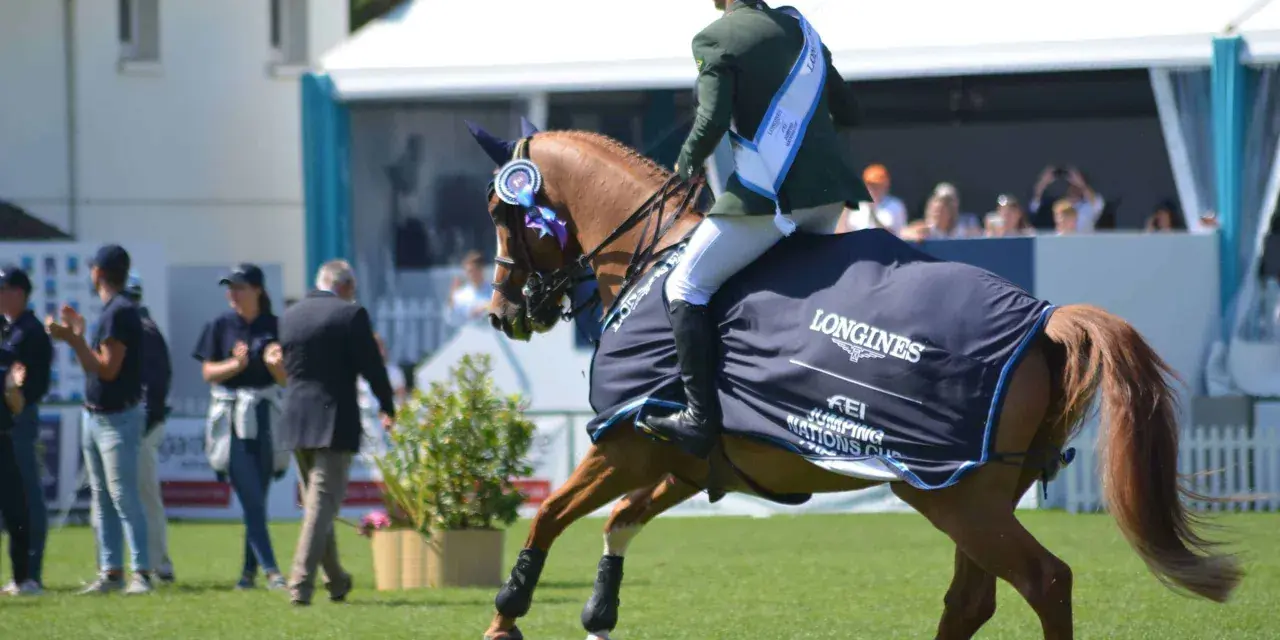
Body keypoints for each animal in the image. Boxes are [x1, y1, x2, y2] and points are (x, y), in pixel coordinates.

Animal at [466, 125, 1242, 640]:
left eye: (503, 213)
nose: (503, 314)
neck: (654, 261)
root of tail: (1045, 322)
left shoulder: (623, 444)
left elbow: (549, 513)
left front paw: (507, 618)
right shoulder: (684, 465)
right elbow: (618, 522)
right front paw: (600, 613)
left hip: (952, 497)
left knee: (1044, 581)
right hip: (975, 496)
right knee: (974, 598)